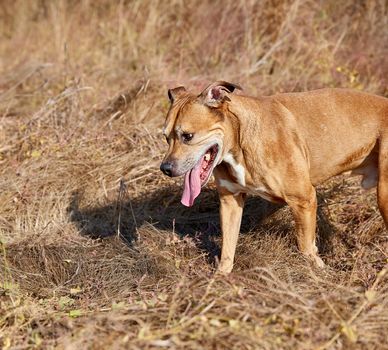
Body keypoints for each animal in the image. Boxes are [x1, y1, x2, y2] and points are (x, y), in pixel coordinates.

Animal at [159, 82, 386, 274]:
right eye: (166, 137)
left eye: (188, 136)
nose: (165, 168)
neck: (239, 139)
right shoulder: (230, 201)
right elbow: (228, 248)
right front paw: (221, 278)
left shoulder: (303, 200)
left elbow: (305, 246)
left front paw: (318, 272)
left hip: (383, 196)